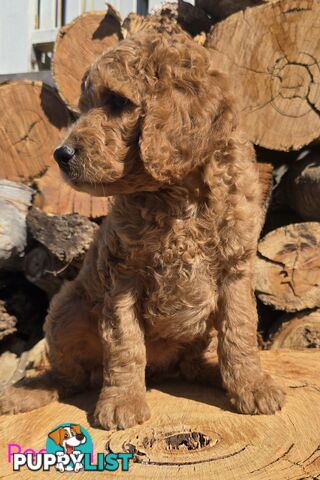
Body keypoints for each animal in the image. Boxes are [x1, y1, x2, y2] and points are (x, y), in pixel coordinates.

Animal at [0, 33, 284, 432]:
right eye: (83, 108)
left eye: (118, 102)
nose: (60, 154)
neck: (179, 197)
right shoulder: (123, 277)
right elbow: (125, 342)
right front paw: (122, 401)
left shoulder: (234, 269)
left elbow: (240, 332)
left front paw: (252, 385)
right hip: (66, 309)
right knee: (71, 375)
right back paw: (30, 391)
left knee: (192, 363)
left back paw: (214, 374)